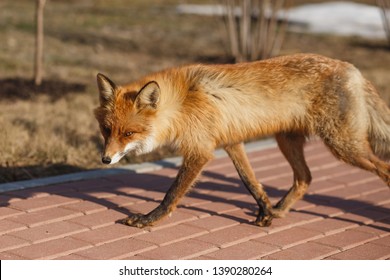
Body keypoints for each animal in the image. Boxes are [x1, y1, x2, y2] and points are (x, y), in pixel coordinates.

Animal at [94, 53, 390, 229]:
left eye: (129, 134)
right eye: (106, 130)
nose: (105, 159)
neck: (182, 102)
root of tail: (352, 68)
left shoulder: (200, 151)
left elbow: (171, 194)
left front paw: (147, 219)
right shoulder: (231, 142)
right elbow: (251, 182)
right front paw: (266, 212)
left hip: (344, 146)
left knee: (384, 170)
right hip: (287, 141)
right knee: (305, 177)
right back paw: (279, 210)